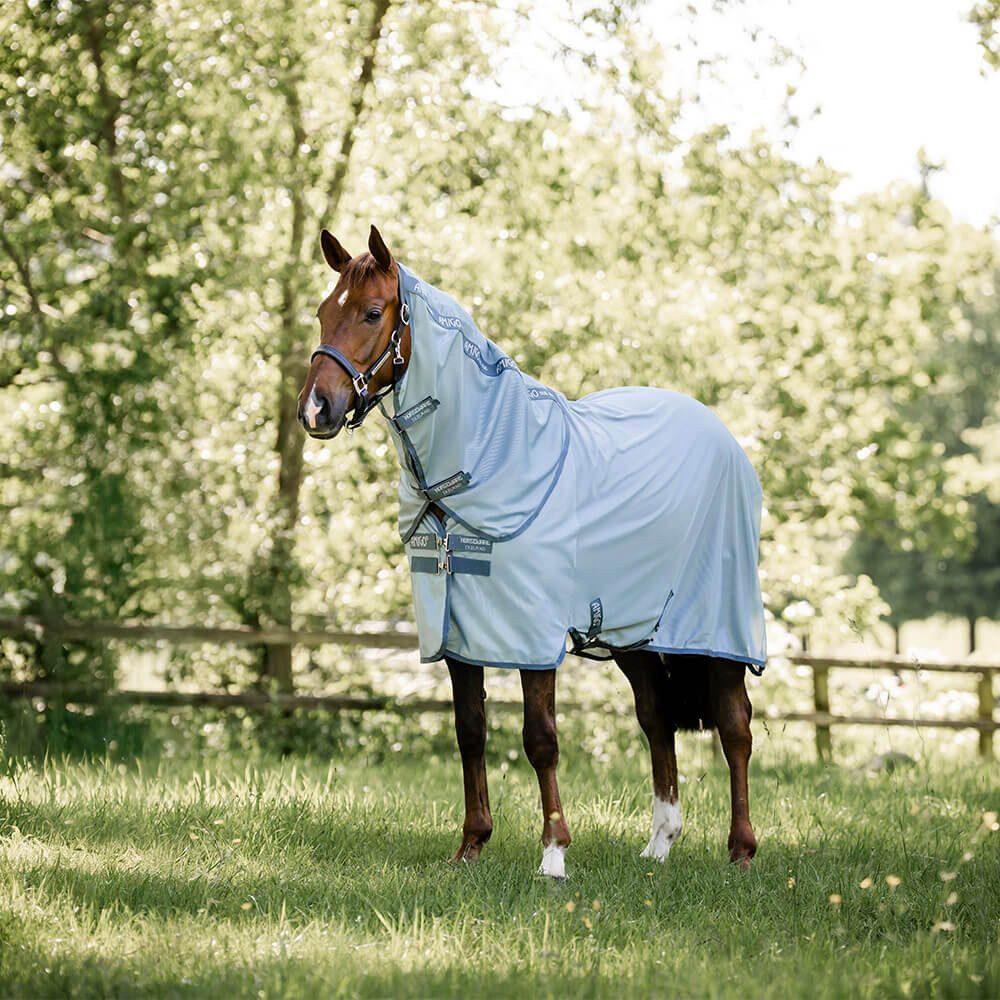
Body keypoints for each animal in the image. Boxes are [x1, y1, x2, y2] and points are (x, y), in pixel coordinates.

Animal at [298, 224, 765, 877]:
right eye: (322, 312)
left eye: (371, 312)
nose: (316, 409)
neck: (495, 457)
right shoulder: (457, 632)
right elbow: (470, 730)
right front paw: (470, 846)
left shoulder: (531, 634)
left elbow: (540, 738)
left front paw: (553, 855)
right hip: (635, 633)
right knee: (656, 720)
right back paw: (659, 844)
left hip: (717, 627)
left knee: (734, 725)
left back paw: (741, 850)